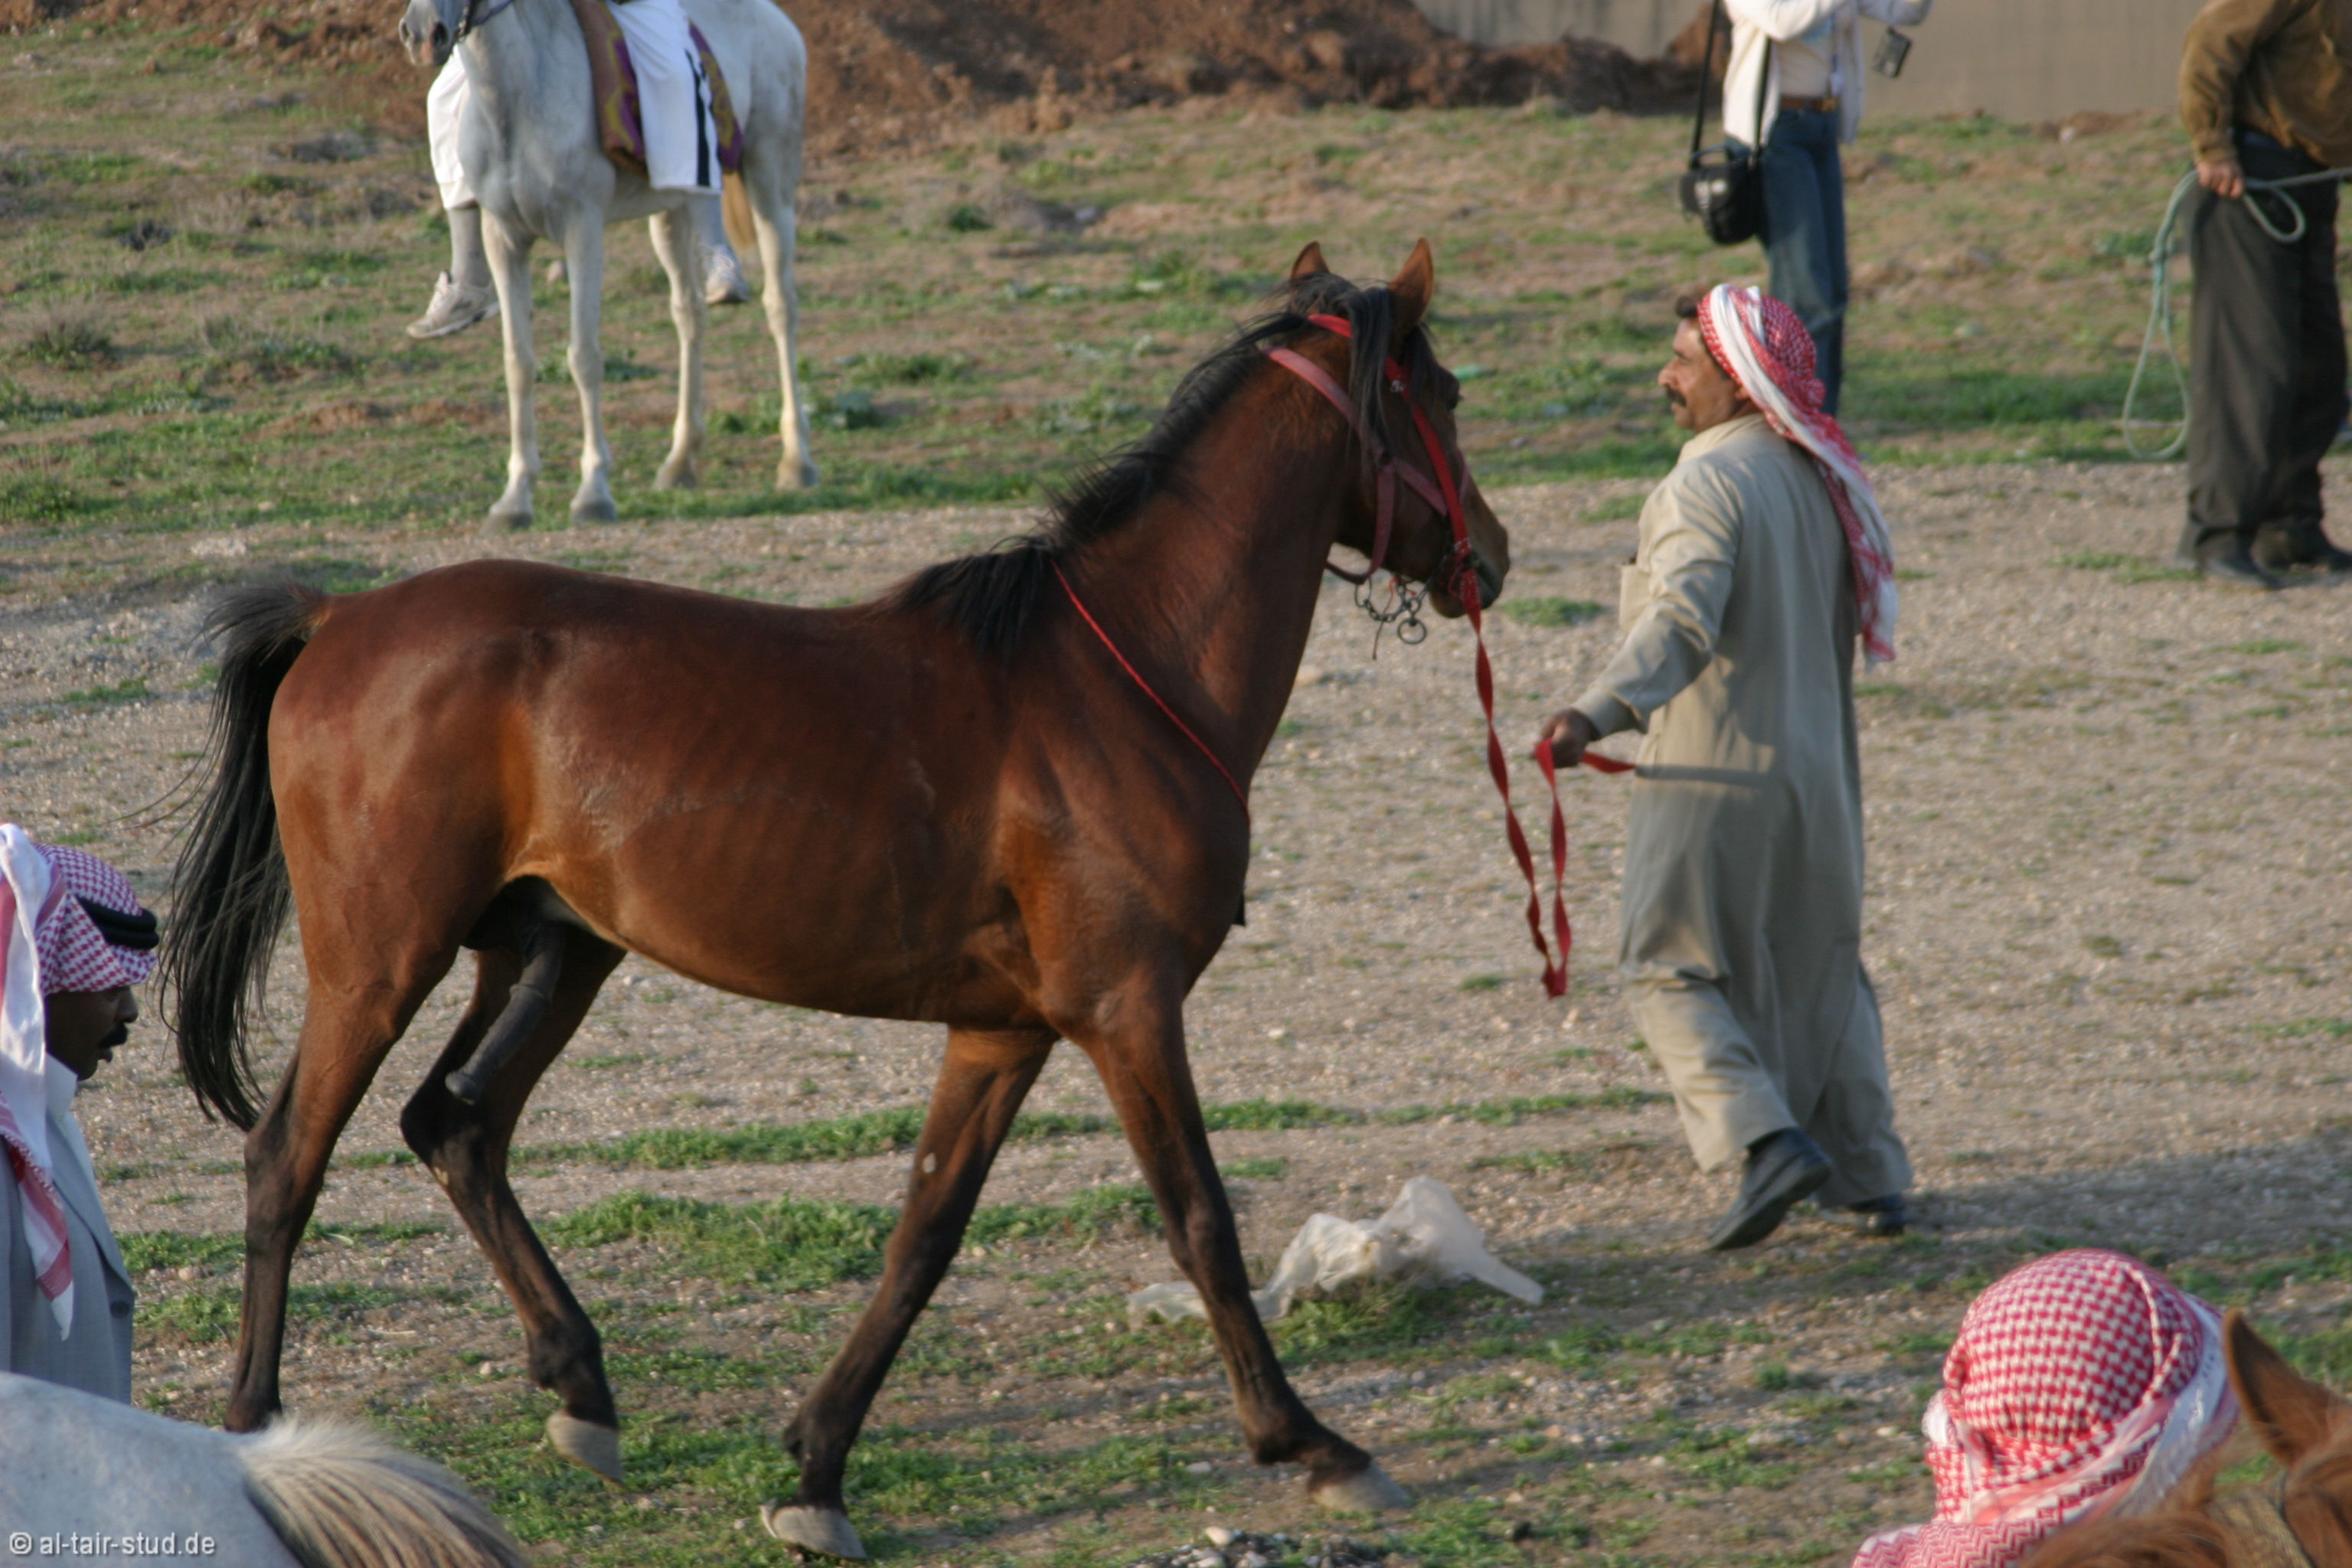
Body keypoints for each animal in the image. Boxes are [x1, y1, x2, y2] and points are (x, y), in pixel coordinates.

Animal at [160, 242, 1510, 1560]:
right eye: (1442, 395)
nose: (1490, 560)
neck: (1126, 675)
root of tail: (339, 616)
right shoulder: (1128, 1009)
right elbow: (1202, 1223)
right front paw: (1313, 1446)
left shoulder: (1003, 1031)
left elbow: (923, 1238)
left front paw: (816, 1469)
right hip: (381, 961)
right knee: (289, 1158)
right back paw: (261, 1429)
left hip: (552, 953)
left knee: (458, 1127)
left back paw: (583, 1389)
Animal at [397, 0, 818, 529]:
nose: (422, 35)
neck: (517, 99)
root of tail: (778, 21)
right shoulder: (503, 239)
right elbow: (518, 363)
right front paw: (515, 498)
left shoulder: (583, 231)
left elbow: (584, 358)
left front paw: (593, 493)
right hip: (670, 210)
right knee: (690, 316)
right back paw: (681, 461)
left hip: (770, 182)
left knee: (781, 308)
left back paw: (796, 460)